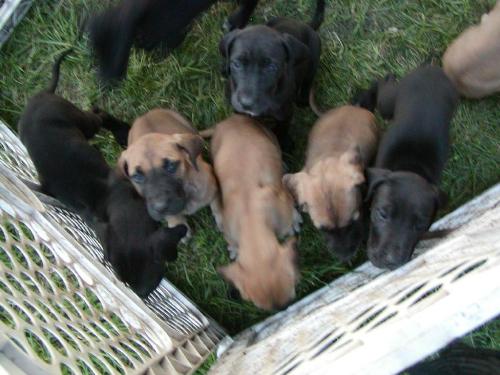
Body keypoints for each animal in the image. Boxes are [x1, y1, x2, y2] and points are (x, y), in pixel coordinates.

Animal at [17, 50, 187, 298]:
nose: (142, 296)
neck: (108, 205)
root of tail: (40, 95)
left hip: (85, 123)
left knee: (99, 113)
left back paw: (122, 131)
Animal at [211, 114, 300, 312]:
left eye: (290, 301)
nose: (283, 310)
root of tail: (233, 118)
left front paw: (295, 221)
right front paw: (234, 249)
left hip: (270, 137)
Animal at [356, 65, 458, 270]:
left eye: (420, 225)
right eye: (382, 214)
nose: (390, 262)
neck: (411, 168)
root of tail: (432, 69)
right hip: (388, 102)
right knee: (382, 88)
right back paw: (382, 82)